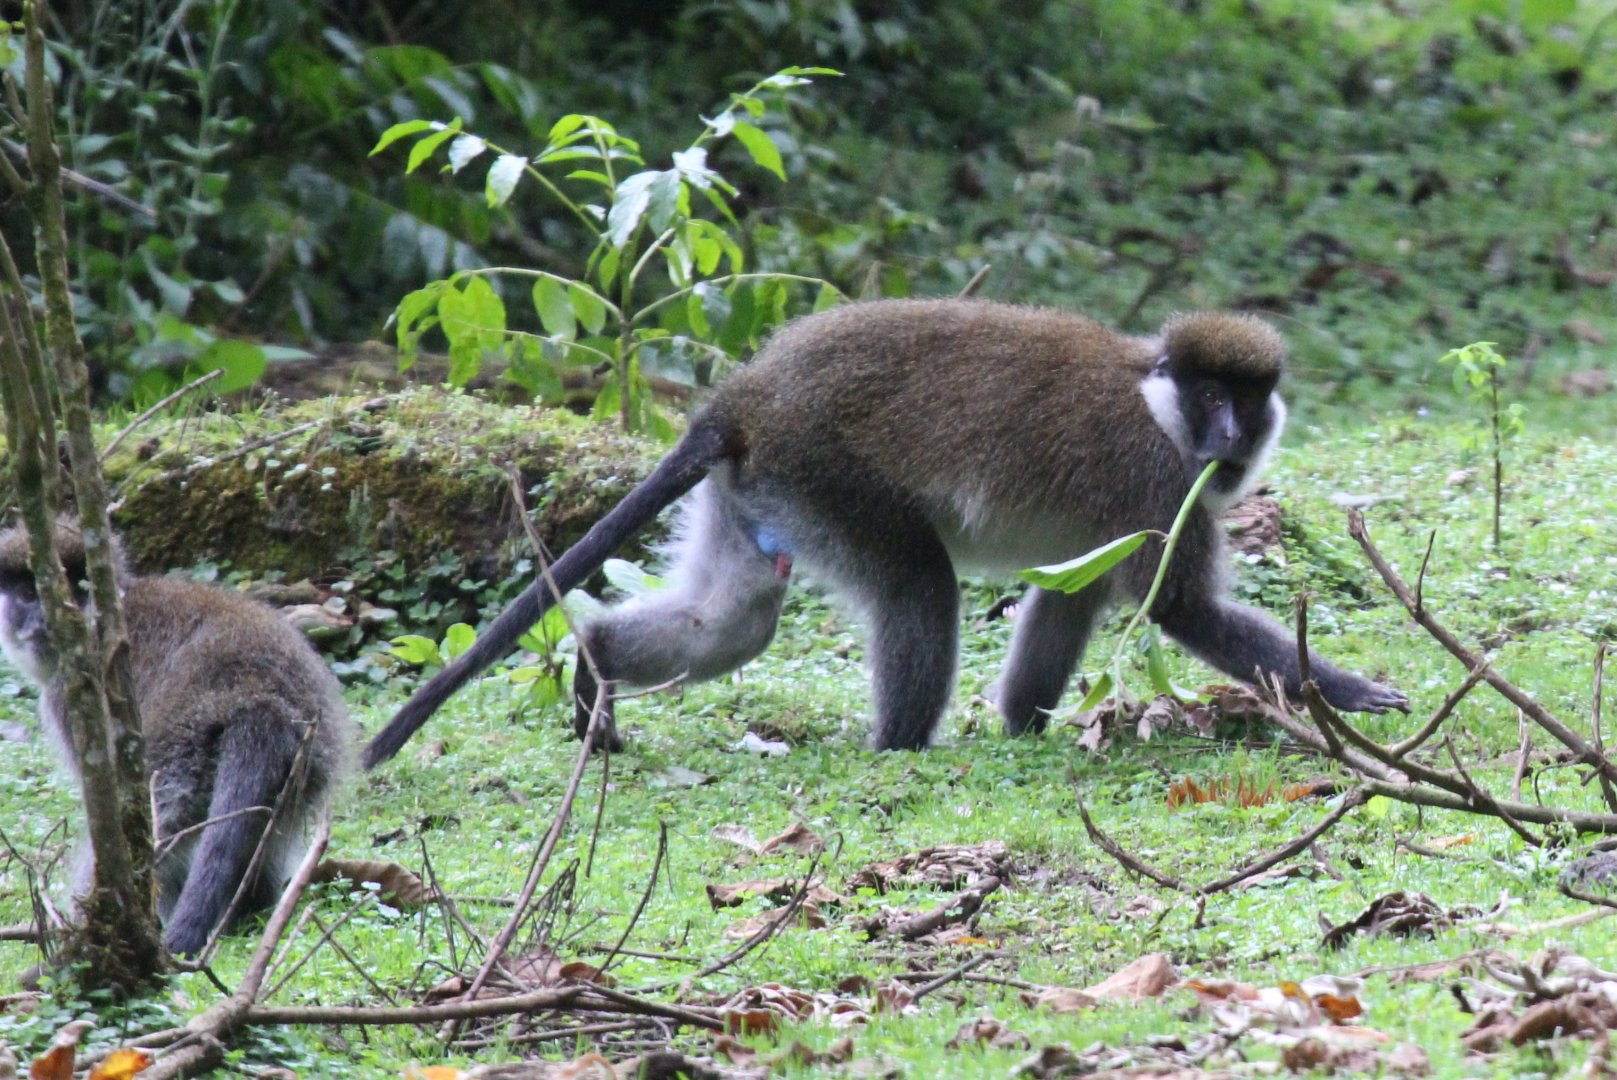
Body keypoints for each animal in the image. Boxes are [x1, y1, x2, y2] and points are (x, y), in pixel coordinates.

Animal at [0, 522, 355, 956]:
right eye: (26, 595)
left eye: (65, 592)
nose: (41, 621)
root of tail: (261, 702)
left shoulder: (70, 693)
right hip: (307, 762)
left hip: (182, 756)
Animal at [364, 298, 1407, 767]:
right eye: (1211, 398)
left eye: (1245, 401)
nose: (1229, 438)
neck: (1160, 410)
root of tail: (747, 396)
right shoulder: (1159, 485)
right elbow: (1182, 607)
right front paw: (1346, 692)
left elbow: (1067, 594)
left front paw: (1024, 725)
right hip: (824, 475)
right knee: (916, 584)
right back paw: (899, 748)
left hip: (762, 489)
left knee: (734, 622)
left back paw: (597, 661)